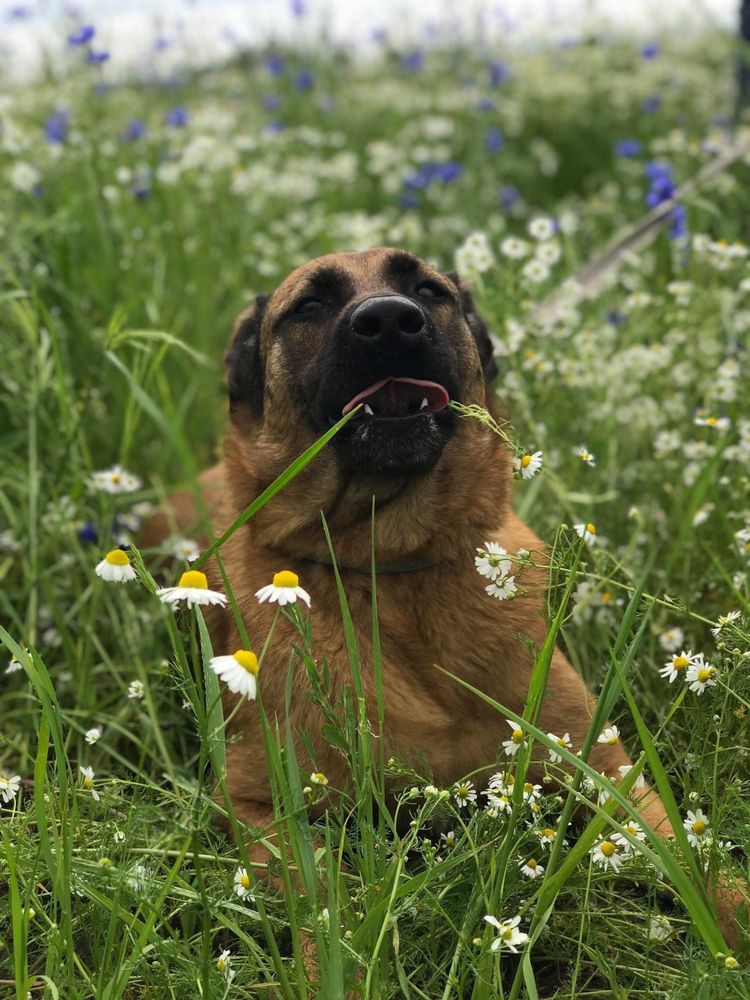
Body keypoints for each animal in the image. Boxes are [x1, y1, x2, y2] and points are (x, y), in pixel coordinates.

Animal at [148, 246, 748, 948]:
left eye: (428, 290)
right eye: (311, 305)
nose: (388, 321)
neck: (392, 563)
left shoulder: (604, 771)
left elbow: (691, 861)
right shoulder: (260, 806)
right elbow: (325, 906)